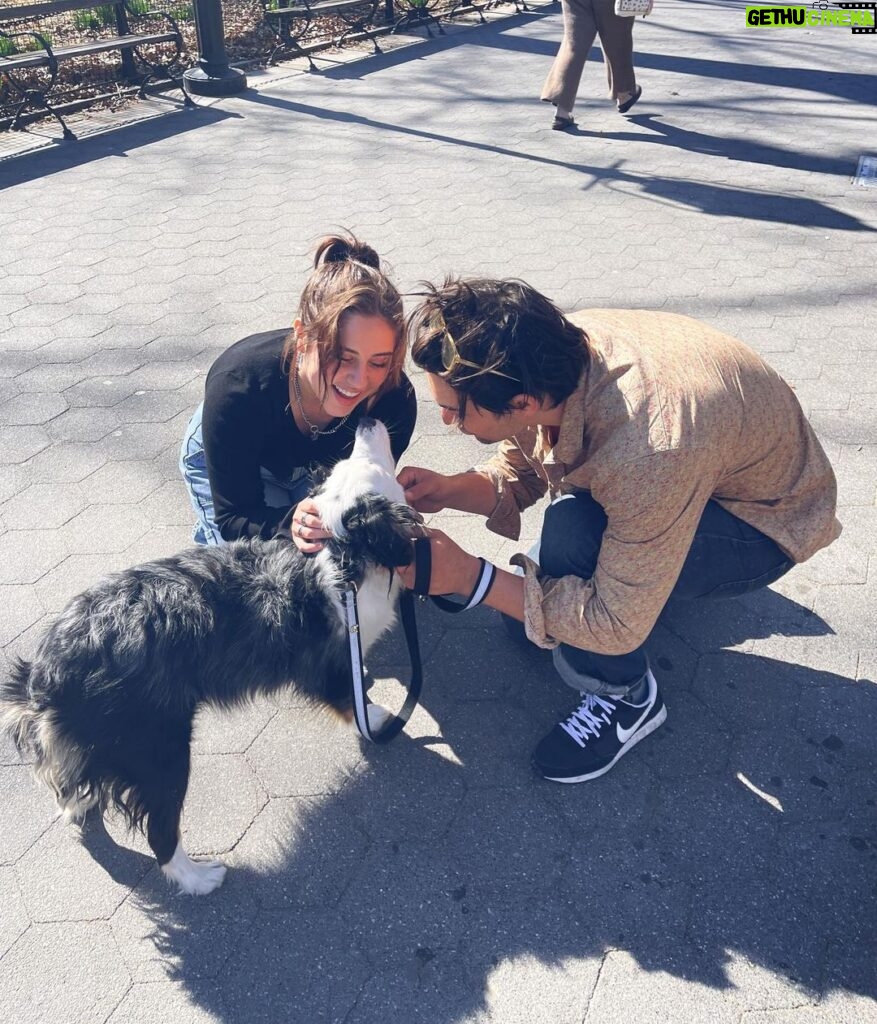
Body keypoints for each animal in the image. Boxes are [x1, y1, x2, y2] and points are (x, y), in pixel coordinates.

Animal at [0, 419, 418, 892]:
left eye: (347, 463)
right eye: (363, 463)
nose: (367, 421)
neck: (342, 555)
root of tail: (50, 667)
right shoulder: (325, 659)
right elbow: (348, 695)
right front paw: (376, 716)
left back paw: (78, 802)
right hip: (160, 748)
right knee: (161, 831)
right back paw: (198, 877)